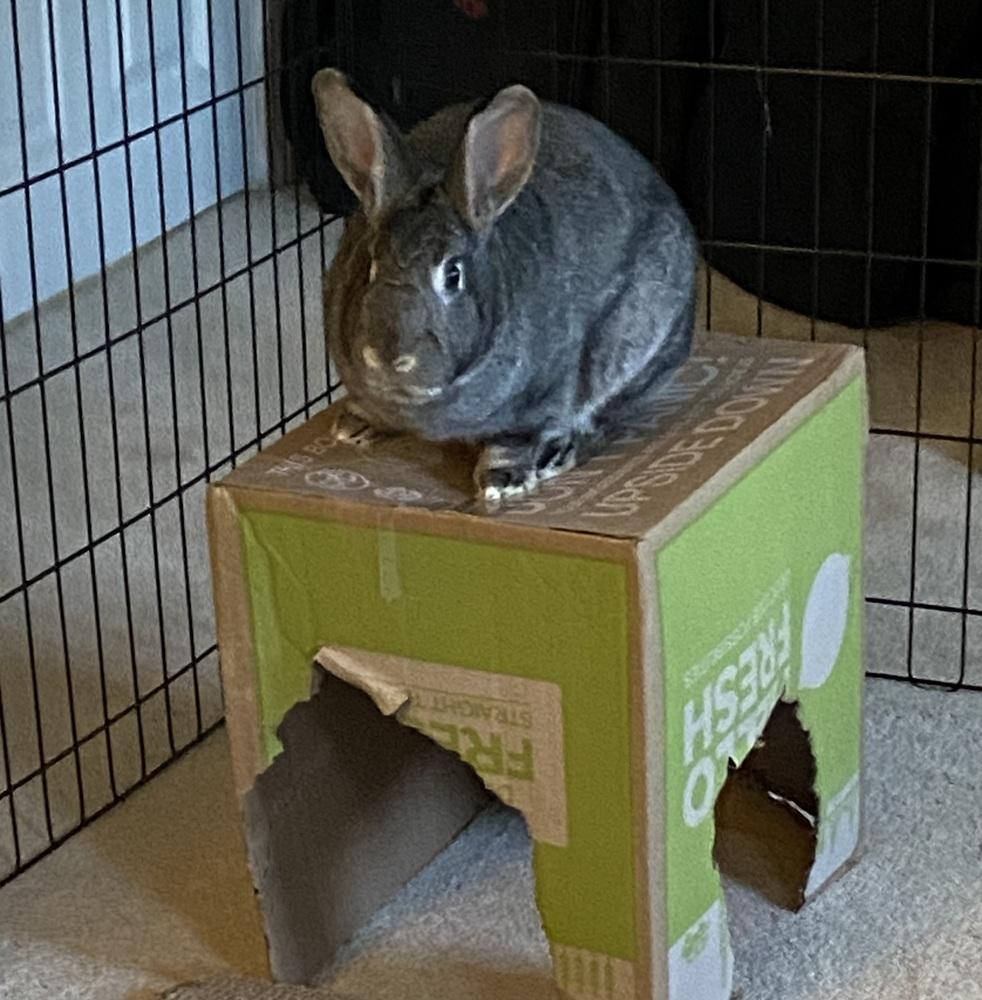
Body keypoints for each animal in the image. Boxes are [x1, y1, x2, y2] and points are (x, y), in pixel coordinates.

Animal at [312, 68, 698, 503]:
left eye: (453, 275)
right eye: (371, 264)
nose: (389, 357)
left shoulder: (542, 397)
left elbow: (515, 439)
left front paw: (502, 480)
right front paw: (355, 425)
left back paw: (557, 455)